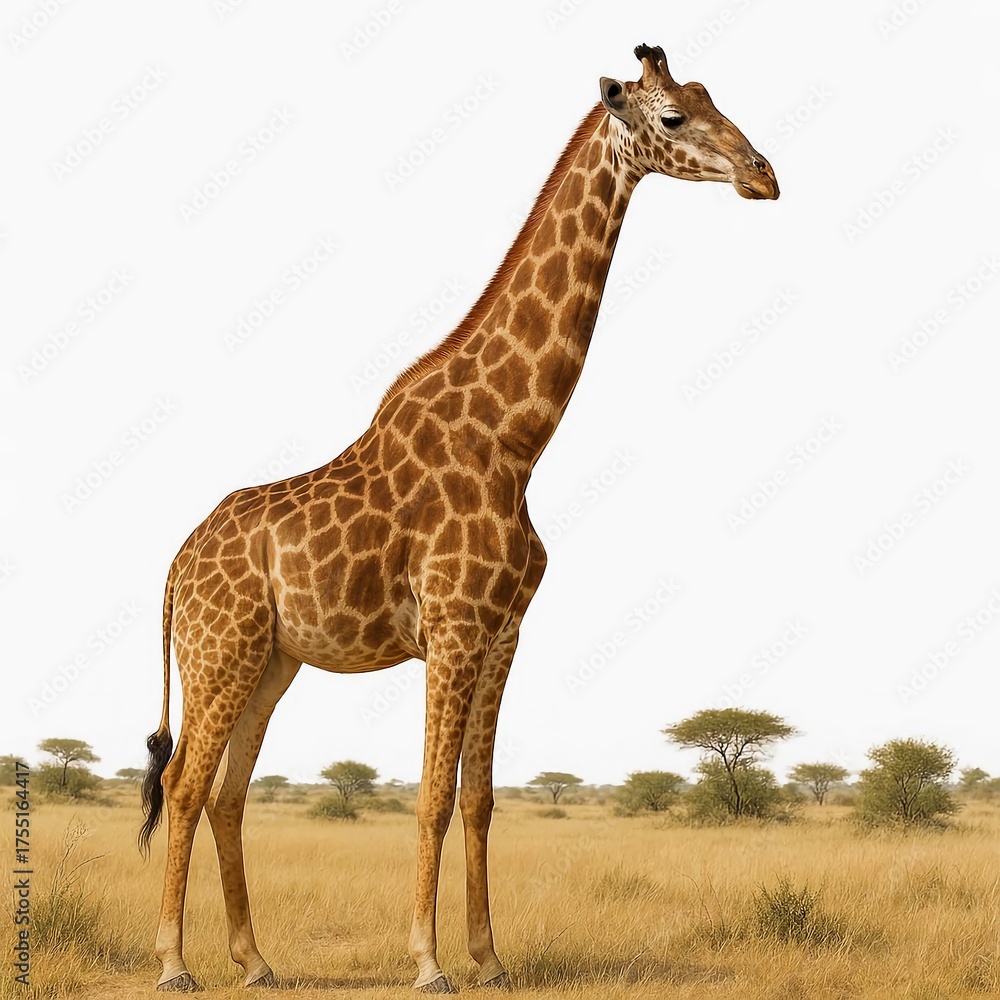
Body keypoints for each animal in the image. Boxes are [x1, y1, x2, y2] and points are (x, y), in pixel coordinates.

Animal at [140, 44, 778, 994]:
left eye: (711, 97)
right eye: (673, 116)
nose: (764, 175)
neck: (516, 440)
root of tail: (175, 570)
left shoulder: (504, 630)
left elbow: (478, 798)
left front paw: (491, 957)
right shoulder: (452, 624)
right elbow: (433, 796)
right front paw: (428, 962)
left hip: (273, 662)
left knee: (226, 792)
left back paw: (255, 962)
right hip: (220, 651)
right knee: (184, 785)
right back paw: (176, 964)